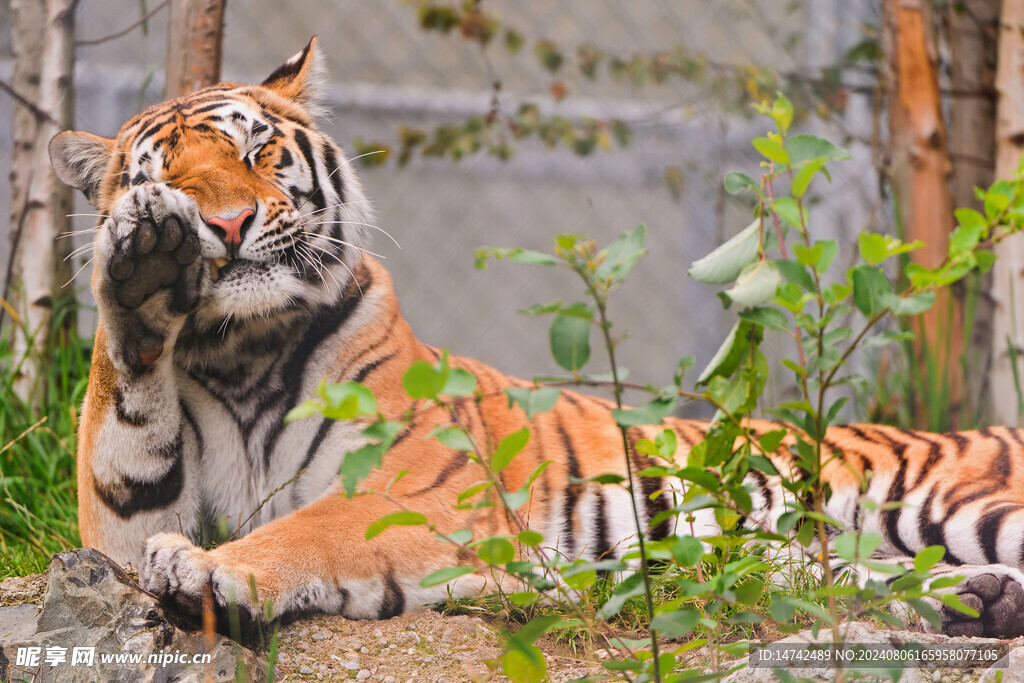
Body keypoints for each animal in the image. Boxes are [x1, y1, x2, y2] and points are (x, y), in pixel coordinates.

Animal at [48, 37, 1024, 640]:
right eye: (171, 177)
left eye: (254, 153)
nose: (224, 224)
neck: (243, 348)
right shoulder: (120, 523)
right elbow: (123, 423)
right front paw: (141, 262)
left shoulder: (422, 488)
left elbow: (310, 527)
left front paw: (208, 570)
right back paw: (975, 601)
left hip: (954, 502)